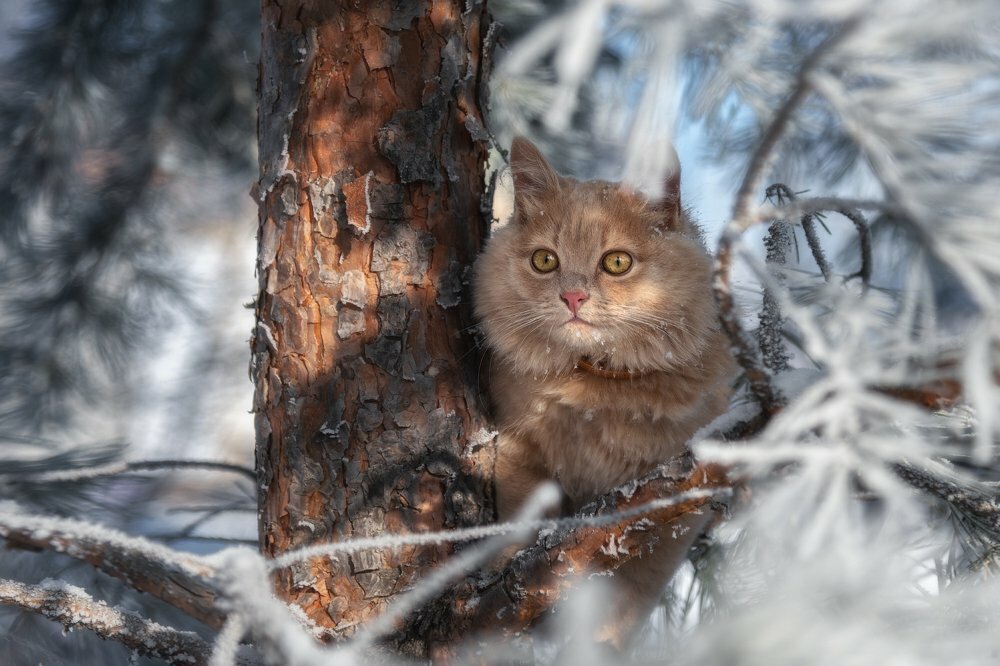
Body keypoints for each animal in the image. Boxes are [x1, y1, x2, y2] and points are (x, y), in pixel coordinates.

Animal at [468, 137, 736, 644]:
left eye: (616, 262)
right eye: (545, 260)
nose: (573, 297)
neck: (594, 397)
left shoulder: (669, 509)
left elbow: (629, 595)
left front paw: (601, 640)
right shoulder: (518, 452)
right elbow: (523, 524)